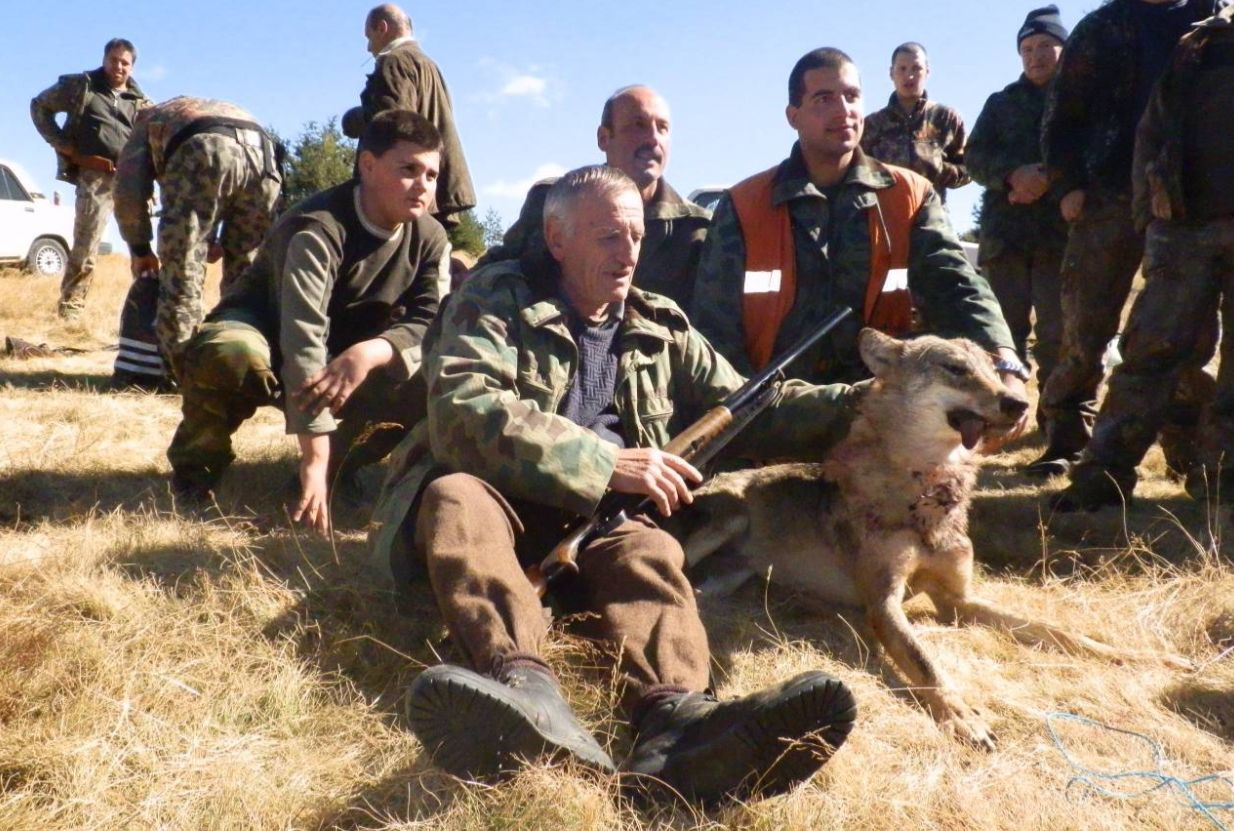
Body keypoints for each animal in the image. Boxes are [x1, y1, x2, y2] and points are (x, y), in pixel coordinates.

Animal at [676, 328, 1184, 750]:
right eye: (955, 369)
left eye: (993, 370)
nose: (1018, 404)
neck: (928, 492)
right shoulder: (884, 604)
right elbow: (928, 663)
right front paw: (964, 719)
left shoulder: (957, 600)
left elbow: (1058, 631)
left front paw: (1139, 656)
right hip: (724, 522)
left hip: (728, 577)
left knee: (694, 593)